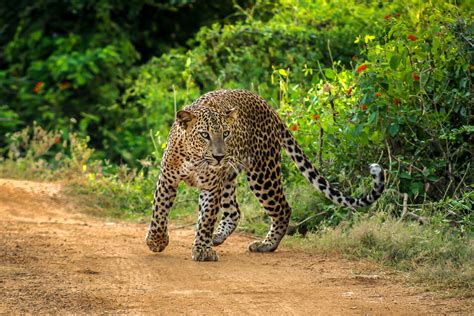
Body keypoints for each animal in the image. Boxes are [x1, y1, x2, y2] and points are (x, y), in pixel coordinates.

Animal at [145, 89, 386, 262]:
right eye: (204, 135)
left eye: (226, 133)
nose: (219, 156)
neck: (196, 158)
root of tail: (269, 107)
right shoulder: (168, 178)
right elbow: (159, 211)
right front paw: (156, 241)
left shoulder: (211, 185)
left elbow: (206, 218)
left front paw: (202, 249)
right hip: (231, 177)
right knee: (234, 211)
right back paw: (219, 237)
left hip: (262, 172)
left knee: (283, 209)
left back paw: (266, 245)